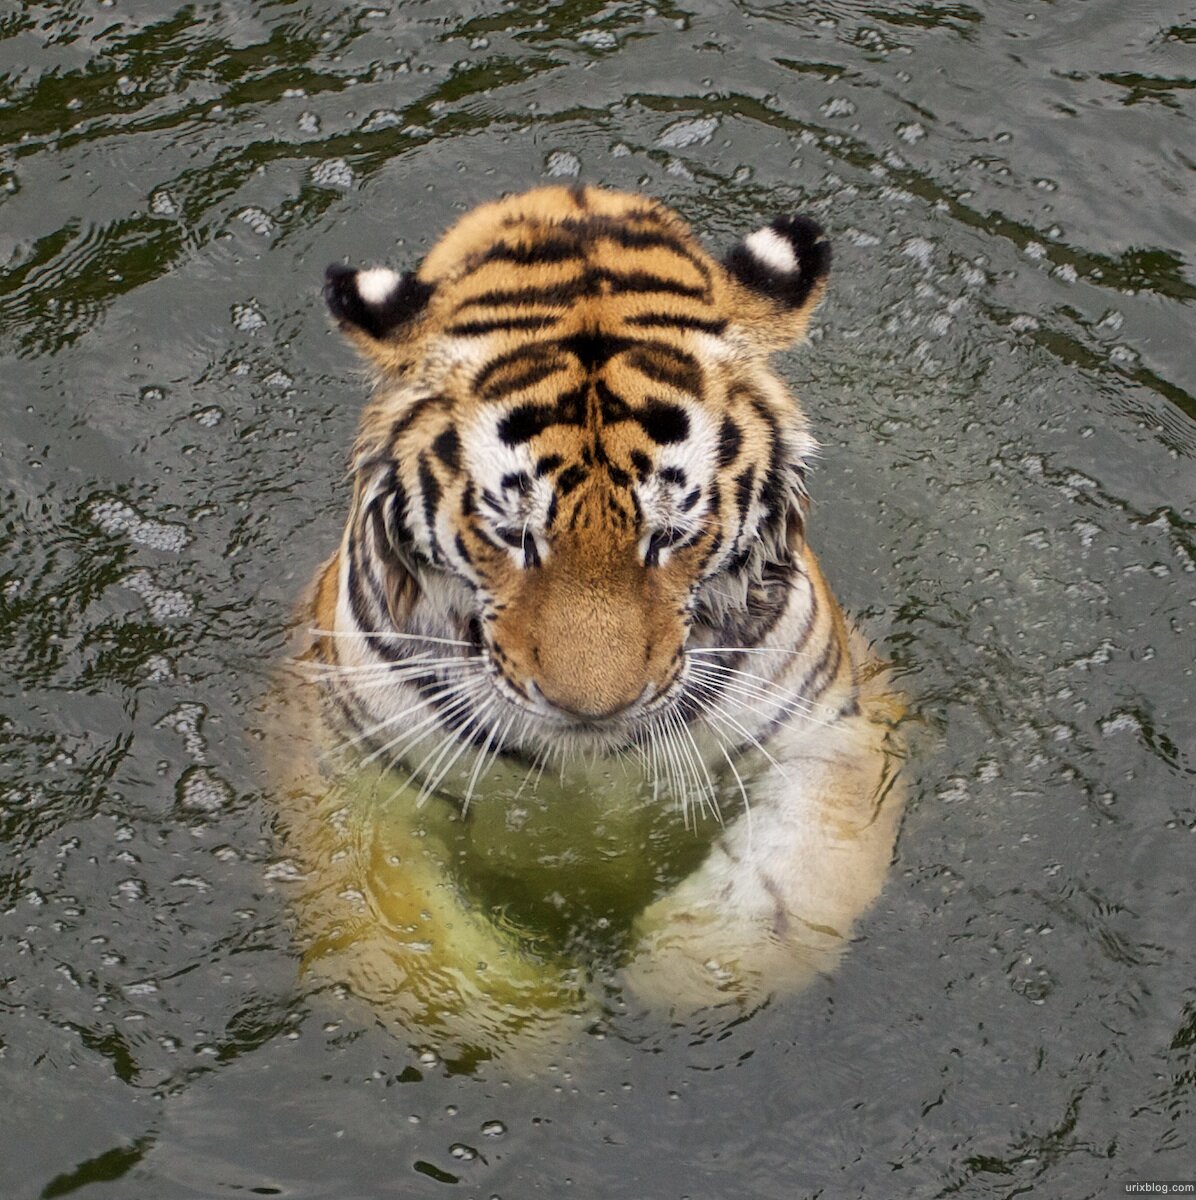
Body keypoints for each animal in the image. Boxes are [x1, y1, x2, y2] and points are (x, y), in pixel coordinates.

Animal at [273, 182, 906, 1065]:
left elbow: (789, 890)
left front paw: (674, 966)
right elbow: (411, 940)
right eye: (513, 534)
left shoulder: (832, 728)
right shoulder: (349, 779)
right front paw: (543, 1017)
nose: (593, 706)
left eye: (669, 535)